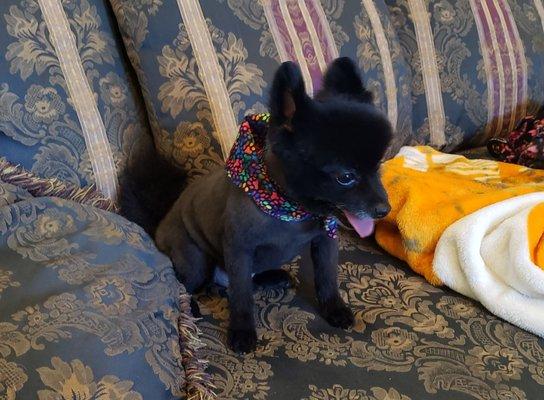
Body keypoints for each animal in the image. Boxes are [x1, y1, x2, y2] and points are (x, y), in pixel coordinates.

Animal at [120, 57, 392, 354]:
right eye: (345, 177)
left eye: (378, 166)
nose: (384, 210)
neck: (290, 208)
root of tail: (158, 225)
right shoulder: (239, 250)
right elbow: (241, 296)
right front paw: (241, 331)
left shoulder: (325, 240)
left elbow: (327, 277)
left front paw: (334, 309)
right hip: (195, 260)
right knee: (186, 285)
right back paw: (191, 306)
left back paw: (272, 276)